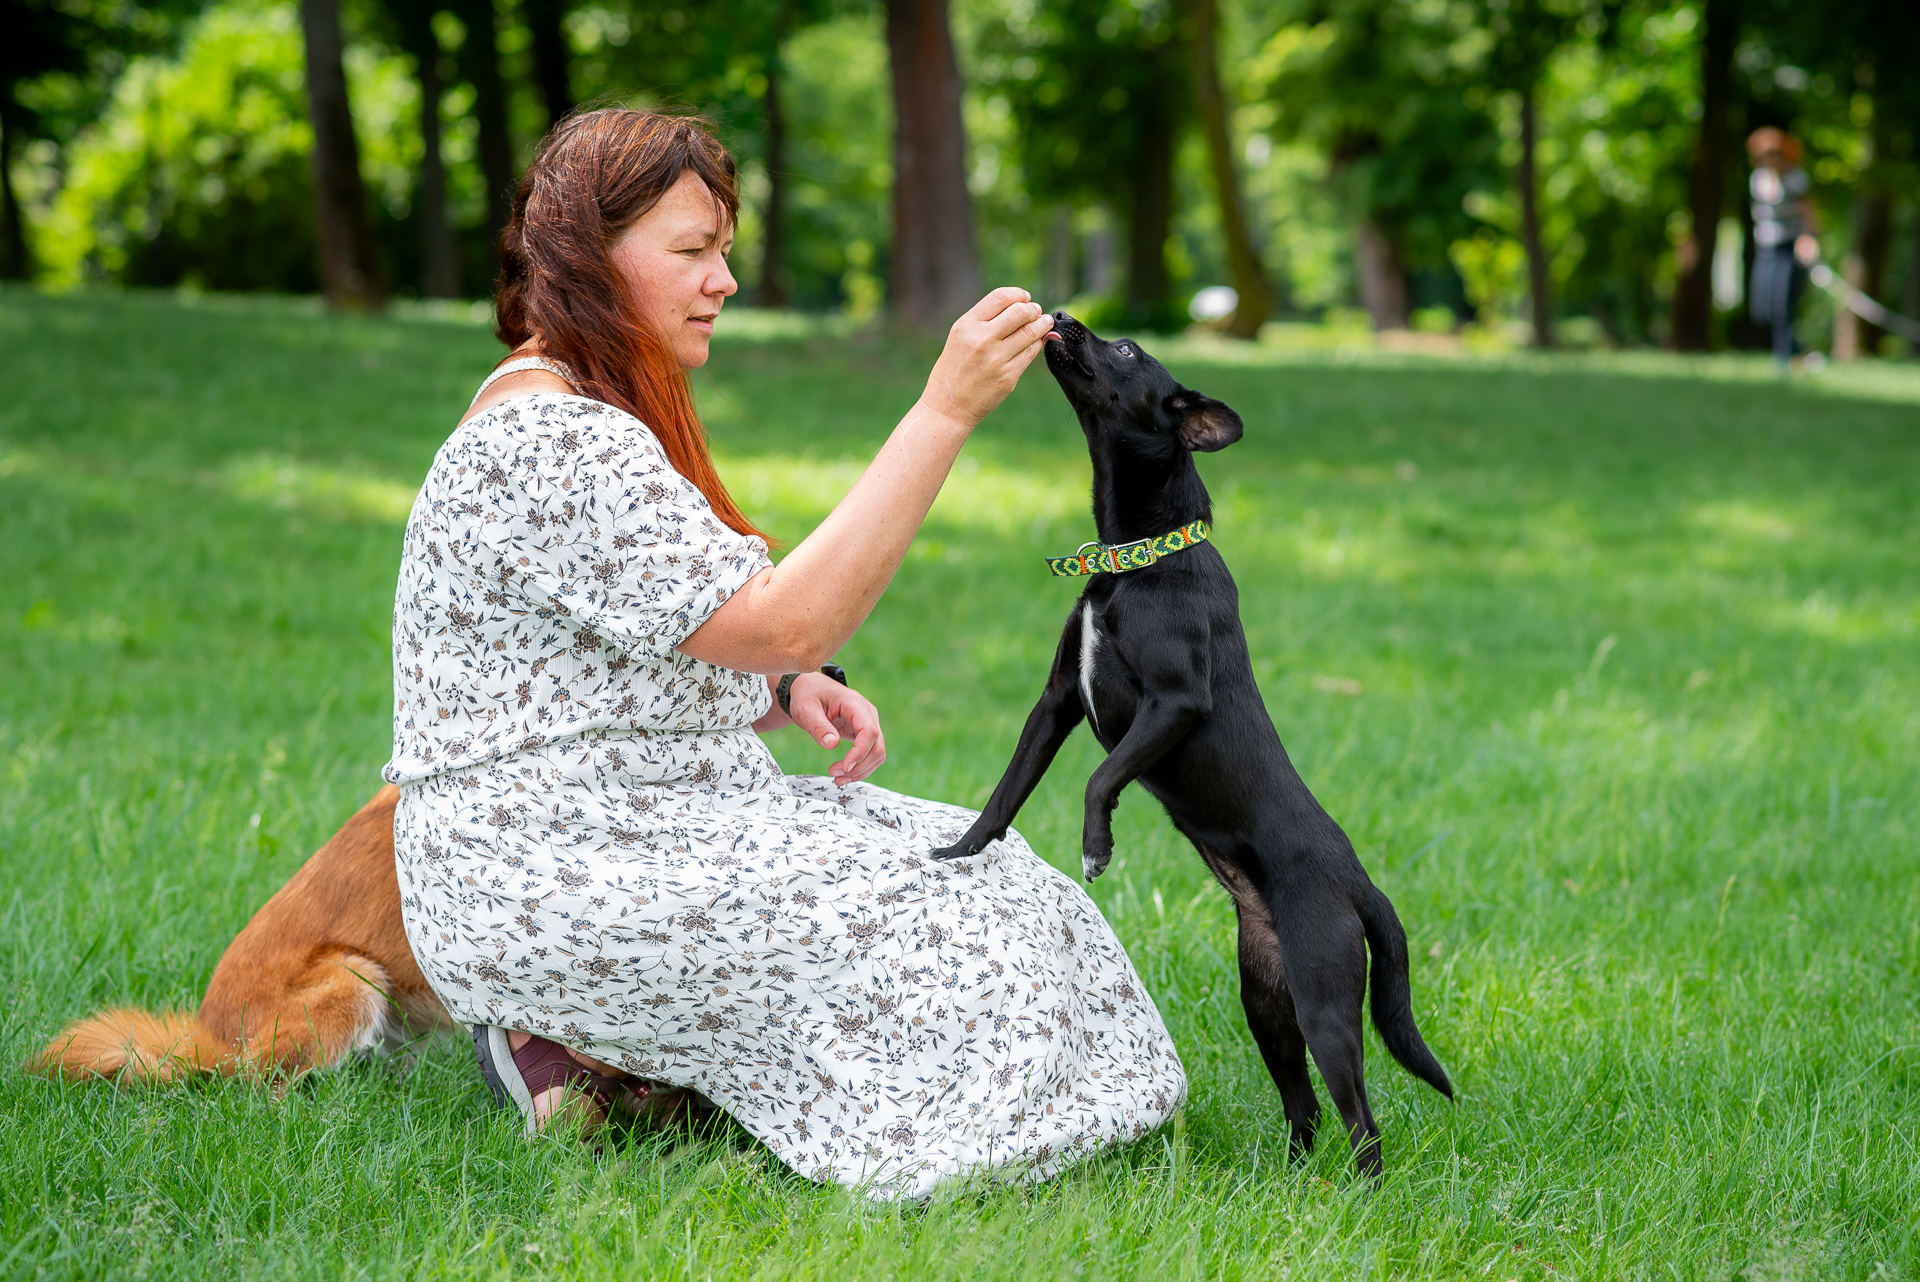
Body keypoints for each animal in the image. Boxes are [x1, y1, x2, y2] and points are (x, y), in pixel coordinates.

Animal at [933, 314, 1451, 1174]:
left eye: (1128, 351)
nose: (1062, 317)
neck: (1138, 561)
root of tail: (1362, 886)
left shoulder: (1173, 702)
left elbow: (1099, 779)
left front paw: (1096, 849)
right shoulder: (1056, 702)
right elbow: (1005, 794)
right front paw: (958, 853)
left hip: (1325, 1003)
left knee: (1361, 1122)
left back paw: (1361, 1195)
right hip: (1265, 999)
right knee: (1305, 1107)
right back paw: (1292, 1184)